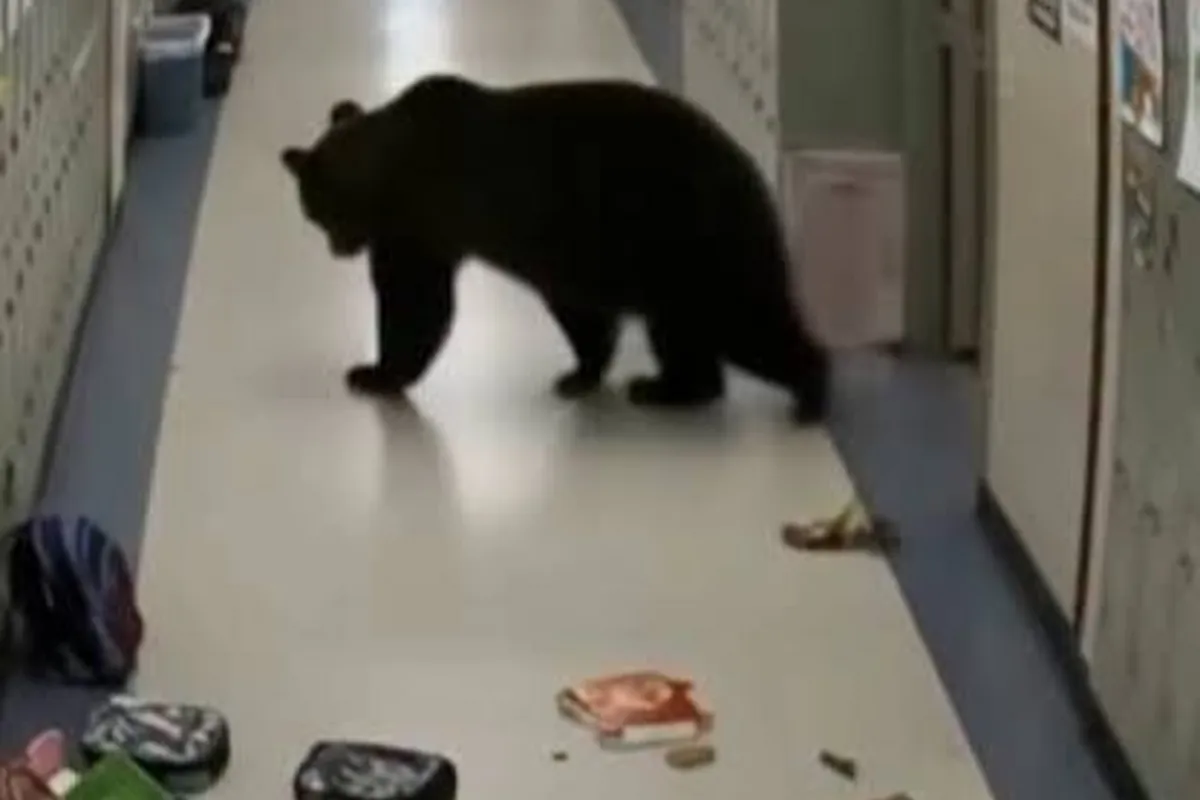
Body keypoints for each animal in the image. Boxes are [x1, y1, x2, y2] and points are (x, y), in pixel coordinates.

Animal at [281, 74, 831, 423]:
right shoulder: (568, 254)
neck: (391, 172)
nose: (337, 250)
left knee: (745, 320)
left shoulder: (424, 224)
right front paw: (581, 372)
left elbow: (416, 305)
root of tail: (754, 176)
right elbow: (580, 312)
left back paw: (808, 391)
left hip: (694, 238)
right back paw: (668, 386)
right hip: (663, 261)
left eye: (314, 212)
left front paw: (374, 373)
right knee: (680, 331)